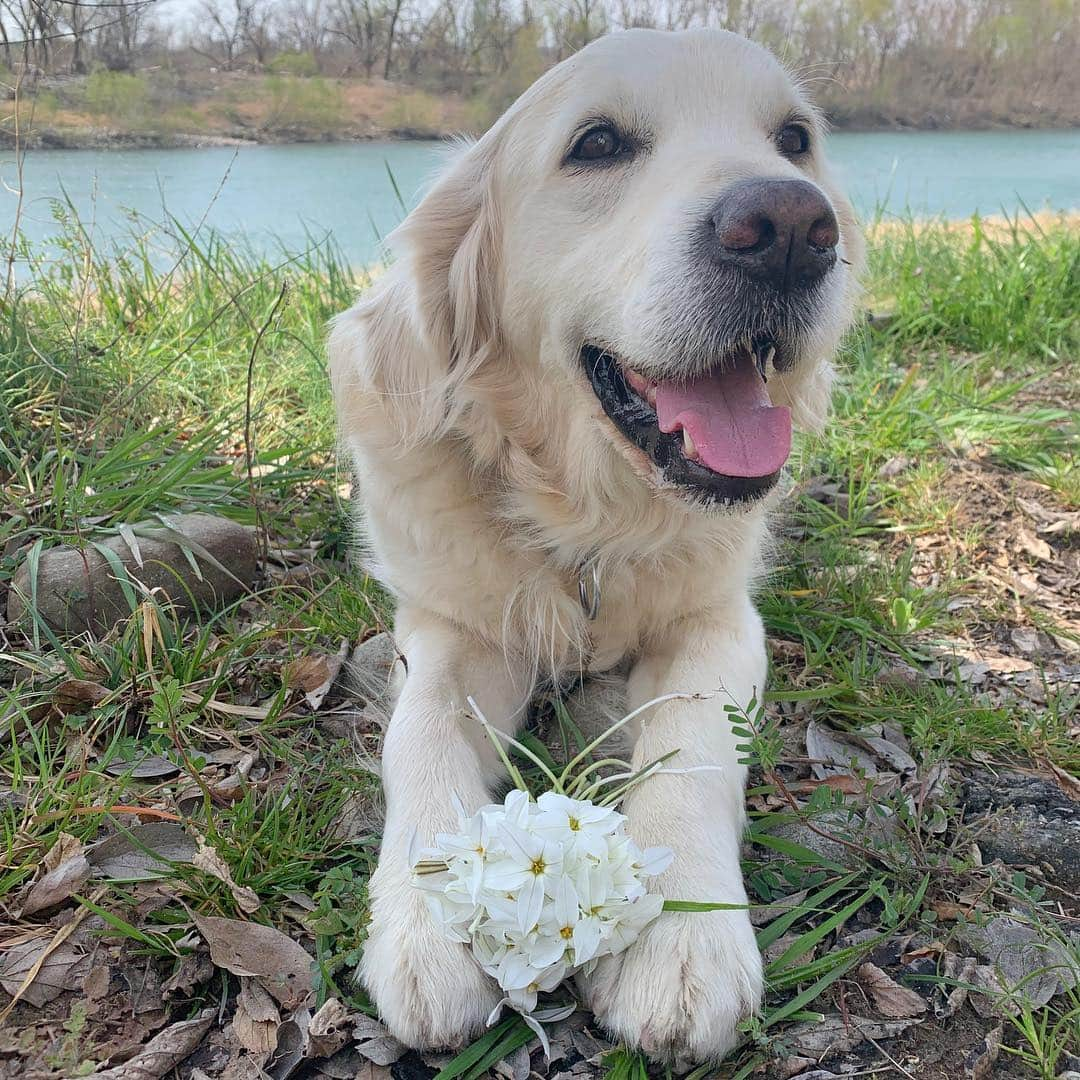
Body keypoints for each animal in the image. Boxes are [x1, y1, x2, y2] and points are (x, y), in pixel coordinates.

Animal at [328, 29, 859, 1067]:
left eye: (794, 139)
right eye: (599, 144)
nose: (789, 227)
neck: (588, 521)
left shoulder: (722, 621)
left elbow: (695, 739)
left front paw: (683, 937)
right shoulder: (450, 627)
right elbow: (420, 734)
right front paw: (426, 918)